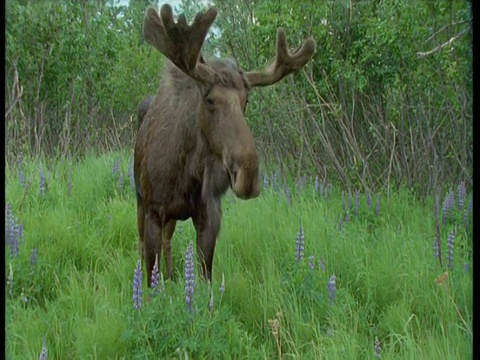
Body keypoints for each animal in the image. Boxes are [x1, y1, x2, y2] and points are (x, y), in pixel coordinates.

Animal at [134, 2, 316, 284]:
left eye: (246, 100)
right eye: (210, 100)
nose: (248, 177)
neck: (186, 172)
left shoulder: (209, 215)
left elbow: (206, 278)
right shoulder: (153, 210)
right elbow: (150, 276)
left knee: (168, 241)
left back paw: (172, 276)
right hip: (140, 202)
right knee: (144, 243)